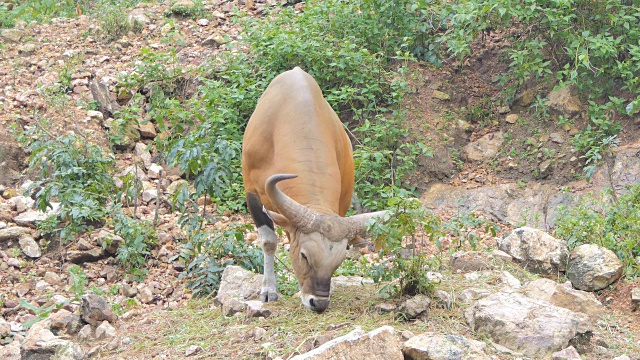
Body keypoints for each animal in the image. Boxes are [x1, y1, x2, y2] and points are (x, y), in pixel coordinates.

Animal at [241, 67, 384, 312]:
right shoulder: (251, 191)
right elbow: (269, 242)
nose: (318, 302)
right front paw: (269, 290)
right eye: (304, 256)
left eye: (337, 262)